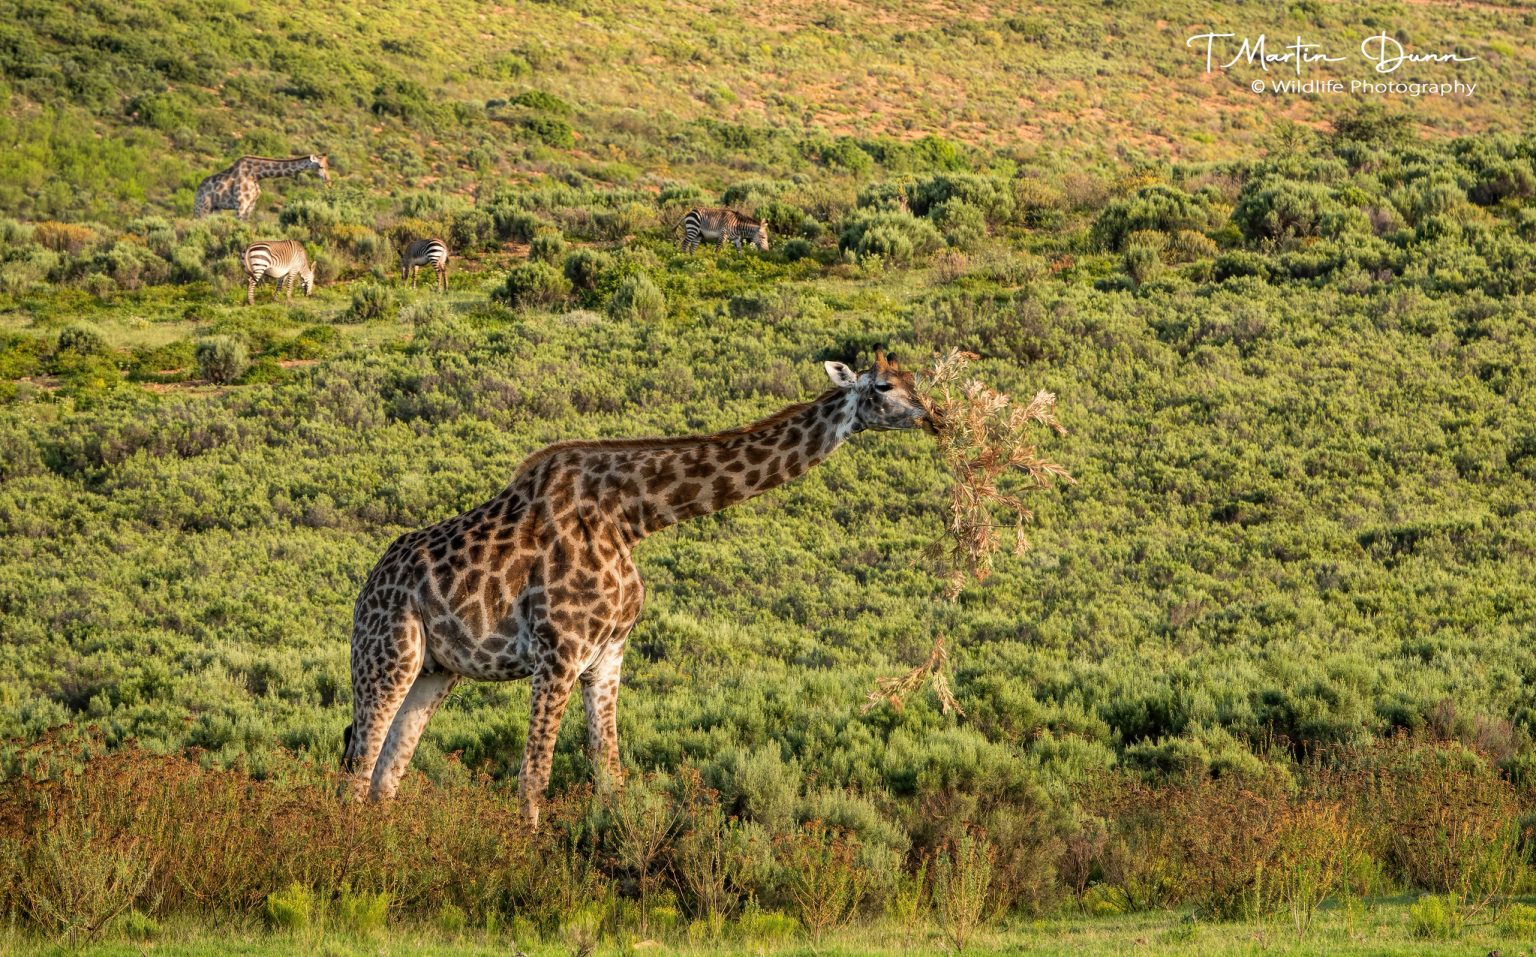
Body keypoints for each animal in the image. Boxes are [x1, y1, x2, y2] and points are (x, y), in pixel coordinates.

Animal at [192, 154, 330, 219]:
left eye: (328, 166)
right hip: (202, 207)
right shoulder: (241, 204)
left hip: (214, 208)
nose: (328, 181)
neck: (256, 174)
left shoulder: (251, 205)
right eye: (320, 166)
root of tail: (197, 190)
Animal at [340, 350, 927, 823]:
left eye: (916, 379)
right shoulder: (558, 653)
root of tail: (366, 587)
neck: (631, 517)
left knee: (386, 772)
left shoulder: (607, 654)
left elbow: (610, 775)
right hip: (387, 654)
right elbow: (534, 776)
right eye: (882, 386)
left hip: (436, 670)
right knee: (358, 763)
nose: (930, 415)